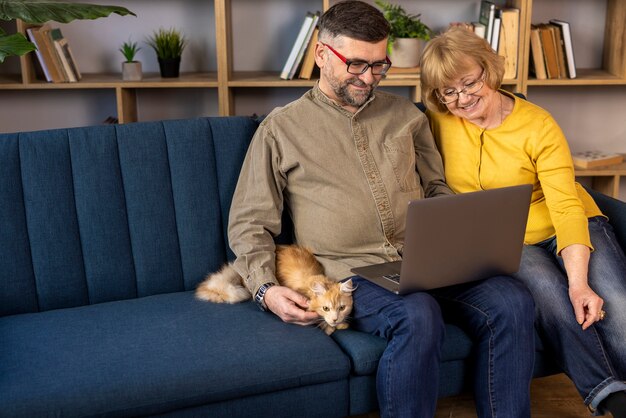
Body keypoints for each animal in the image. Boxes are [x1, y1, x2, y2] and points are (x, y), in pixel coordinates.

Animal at [195, 245, 352, 336]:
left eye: (342, 308)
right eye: (326, 308)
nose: (335, 318)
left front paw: (340, 324)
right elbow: (322, 321)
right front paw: (330, 327)